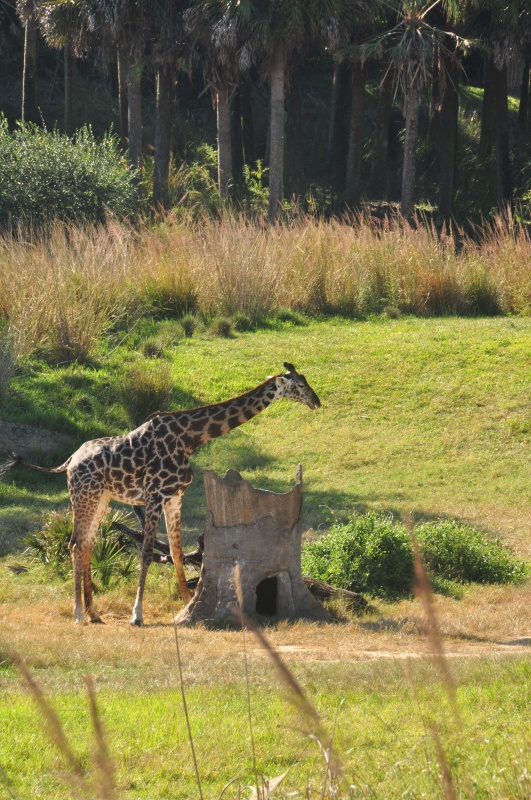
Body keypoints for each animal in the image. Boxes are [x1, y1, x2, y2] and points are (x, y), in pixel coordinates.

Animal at [0, 360, 320, 624]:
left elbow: (177, 552)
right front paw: (137, 615)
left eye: (306, 381)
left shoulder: (175, 497)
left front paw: (186, 606)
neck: (191, 439)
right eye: (299, 385)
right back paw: (79, 614)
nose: (316, 401)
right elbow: (146, 553)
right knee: (76, 544)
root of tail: (70, 460)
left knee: (87, 544)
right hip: (83, 495)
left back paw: (94, 613)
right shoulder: (154, 497)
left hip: (101, 499)